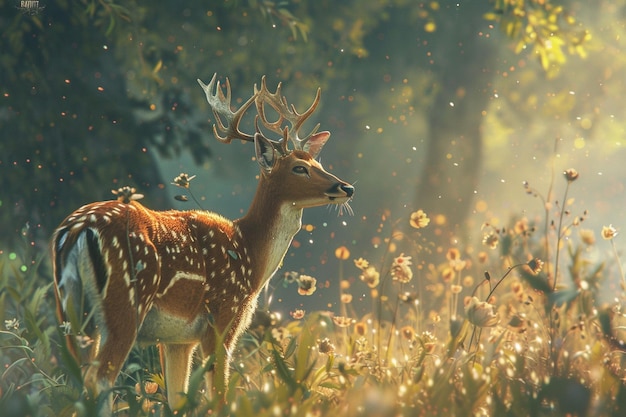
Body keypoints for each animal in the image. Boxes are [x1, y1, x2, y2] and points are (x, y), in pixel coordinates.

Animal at [51, 72, 354, 412]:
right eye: (299, 168)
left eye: (318, 163)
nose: (346, 187)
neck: (251, 256)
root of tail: (76, 231)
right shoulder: (222, 315)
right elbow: (219, 394)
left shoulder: (178, 339)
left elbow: (177, 400)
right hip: (125, 303)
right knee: (99, 380)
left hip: (72, 309)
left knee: (76, 380)